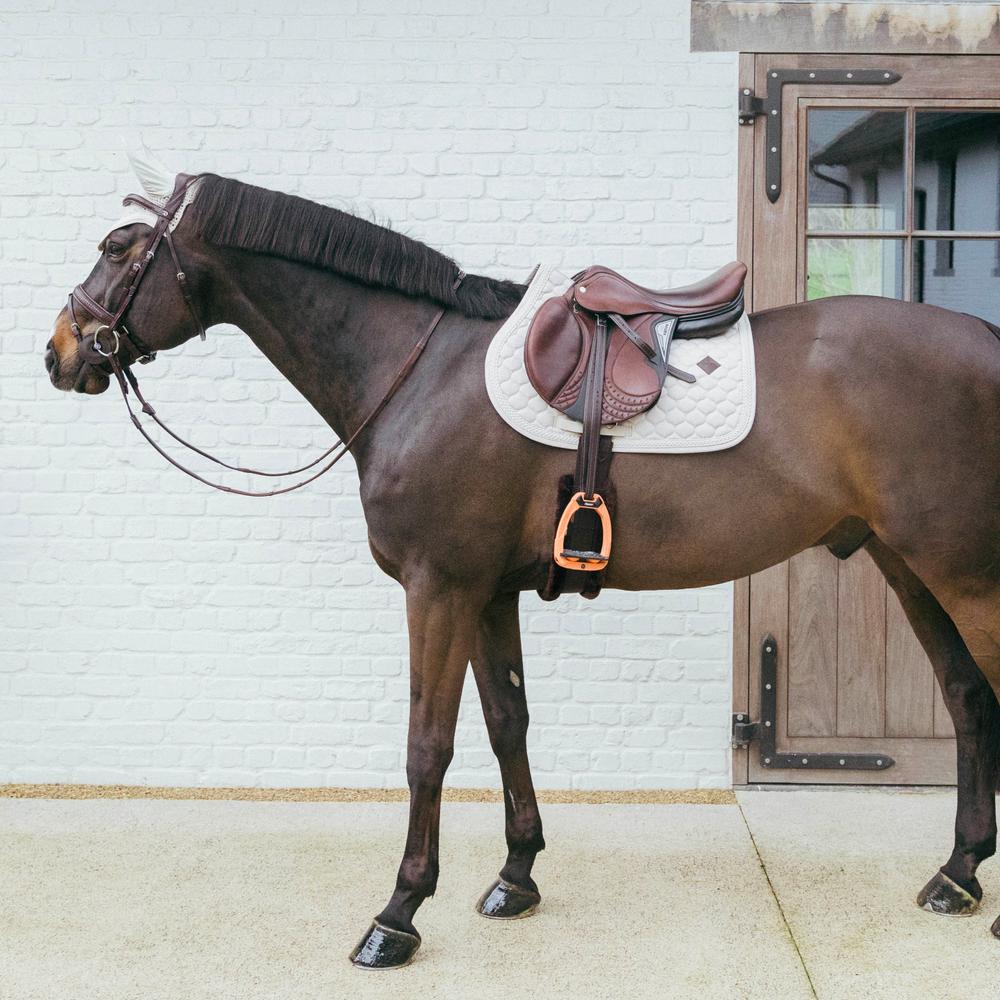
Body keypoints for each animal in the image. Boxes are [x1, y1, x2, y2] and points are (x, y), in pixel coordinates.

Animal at [45, 155, 1000, 968]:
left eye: (117, 248)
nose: (59, 351)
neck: (420, 372)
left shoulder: (438, 589)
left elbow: (427, 746)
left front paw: (398, 914)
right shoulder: (487, 593)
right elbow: (508, 721)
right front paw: (516, 876)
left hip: (962, 575)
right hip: (911, 567)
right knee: (965, 700)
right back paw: (957, 876)